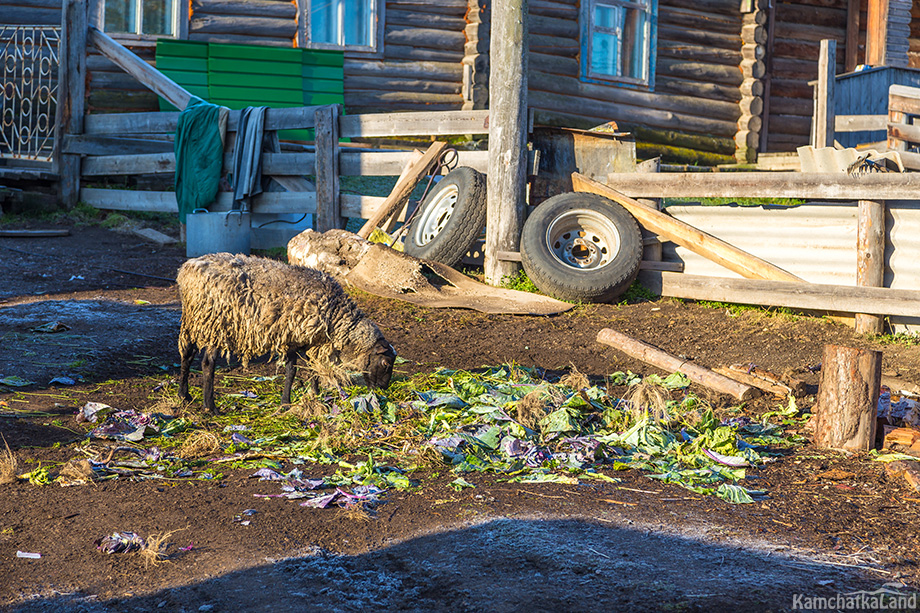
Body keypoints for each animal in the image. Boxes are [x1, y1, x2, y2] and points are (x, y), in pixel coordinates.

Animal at [176, 251, 396, 414]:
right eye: (385, 363)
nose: (384, 389)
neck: (337, 317)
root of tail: (187, 271)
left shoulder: (300, 340)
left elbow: (303, 371)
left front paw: (302, 398)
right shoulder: (304, 338)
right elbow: (301, 371)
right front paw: (294, 401)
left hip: (194, 321)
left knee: (187, 355)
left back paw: (184, 395)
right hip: (216, 324)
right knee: (207, 363)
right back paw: (209, 406)